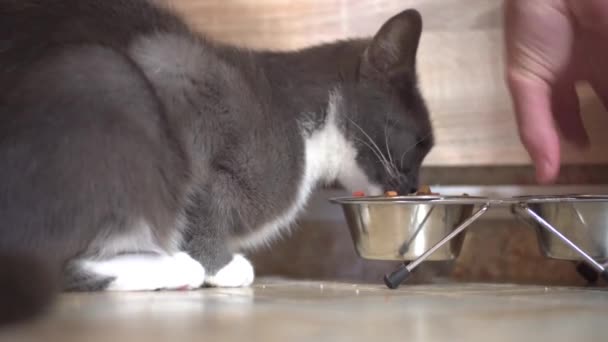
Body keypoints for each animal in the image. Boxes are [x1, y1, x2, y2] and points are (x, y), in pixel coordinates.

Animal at [2, 0, 434, 324]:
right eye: (419, 143)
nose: (414, 185)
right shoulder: (178, 70)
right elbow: (203, 197)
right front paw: (218, 264)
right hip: (105, 77)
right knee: (53, 262)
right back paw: (177, 267)